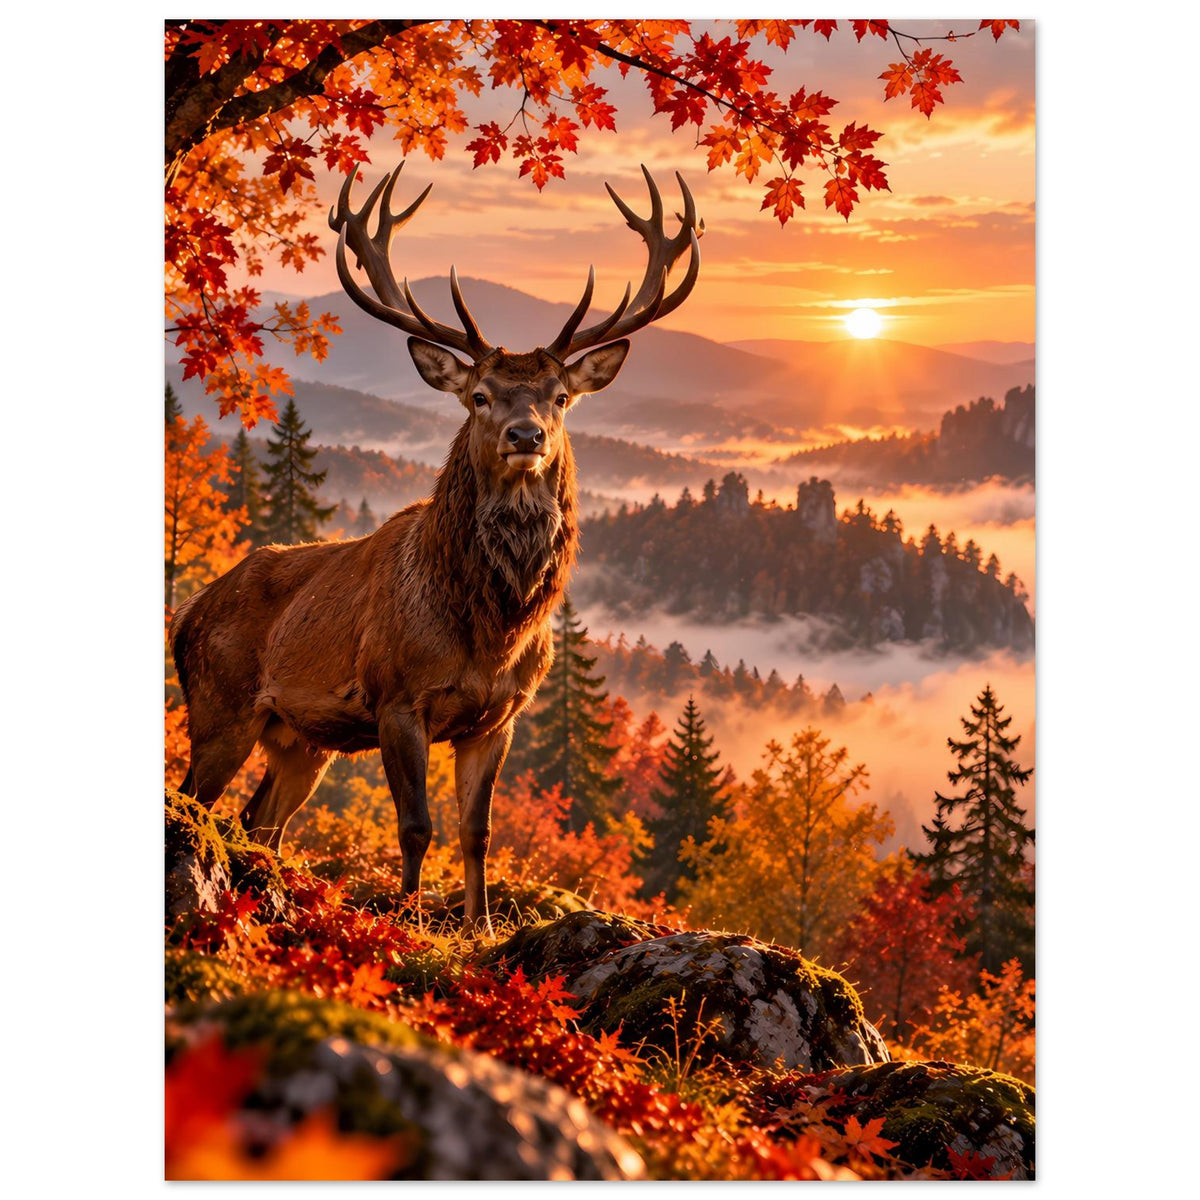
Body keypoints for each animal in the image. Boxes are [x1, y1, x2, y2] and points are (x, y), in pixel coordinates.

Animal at [170, 160, 703, 929]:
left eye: (560, 397)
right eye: (479, 395)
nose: (525, 435)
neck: (492, 631)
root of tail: (185, 614)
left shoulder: (499, 716)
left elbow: (477, 829)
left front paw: (478, 925)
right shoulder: (397, 697)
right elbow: (416, 824)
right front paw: (409, 922)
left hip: (299, 740)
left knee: (257, 821)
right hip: (219, 705)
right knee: (195, 801)